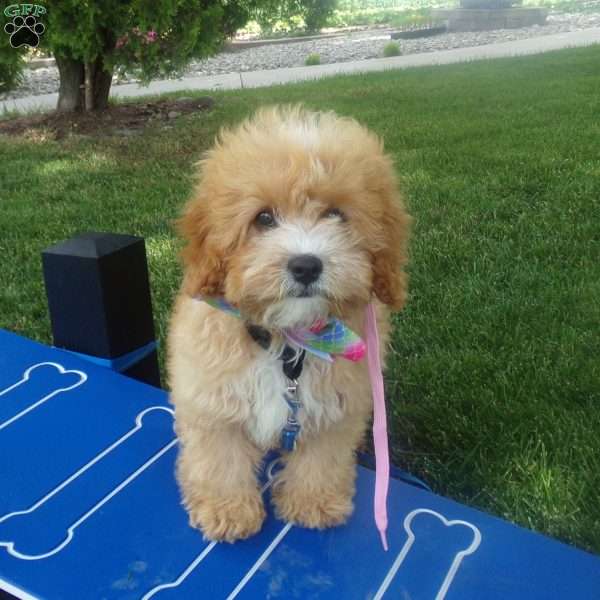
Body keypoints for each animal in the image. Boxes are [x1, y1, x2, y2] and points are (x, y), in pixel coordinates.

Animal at [166, 105, 410, 540]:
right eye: (263, 218)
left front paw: (313, 502)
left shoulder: (338, 405)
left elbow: (322, 457)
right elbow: (219, 459)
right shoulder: (211, 400)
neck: (286, 341)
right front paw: (227, 510)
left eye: (336, 214)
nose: (306, 265)